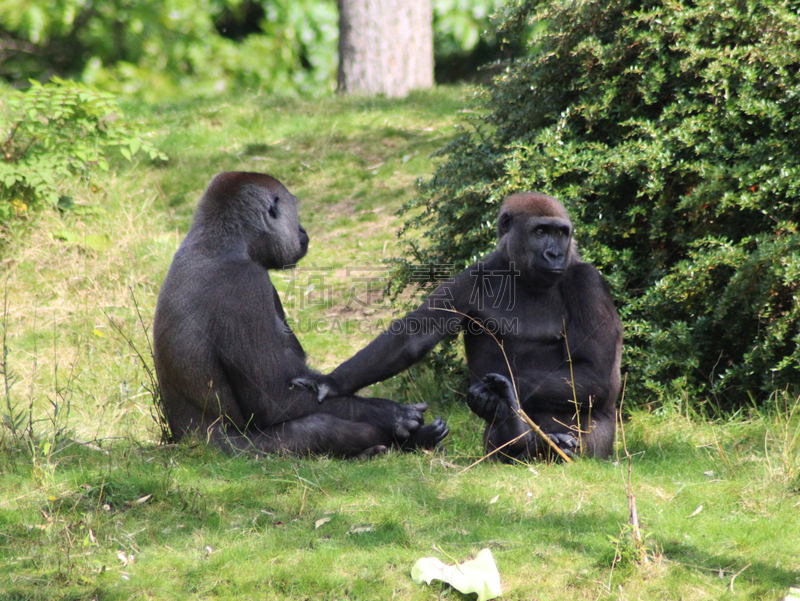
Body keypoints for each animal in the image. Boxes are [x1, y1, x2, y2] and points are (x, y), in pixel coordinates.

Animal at [152, 171, 450, 458]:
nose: (302, 230)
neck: (223, 243)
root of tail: (183, 444)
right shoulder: (247, 285)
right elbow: (274, 401)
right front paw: (389, 413)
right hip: (235, 453)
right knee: (320, 427)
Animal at [296, 192, 620, 460]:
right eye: (541, 232)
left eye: (561, 233)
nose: (555, 254)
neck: (521, 272)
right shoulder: (472, 276)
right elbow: (413, 337)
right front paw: (332, 383)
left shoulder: (588, 282)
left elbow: (594, 374)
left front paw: (494, 389)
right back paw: (520, 436)